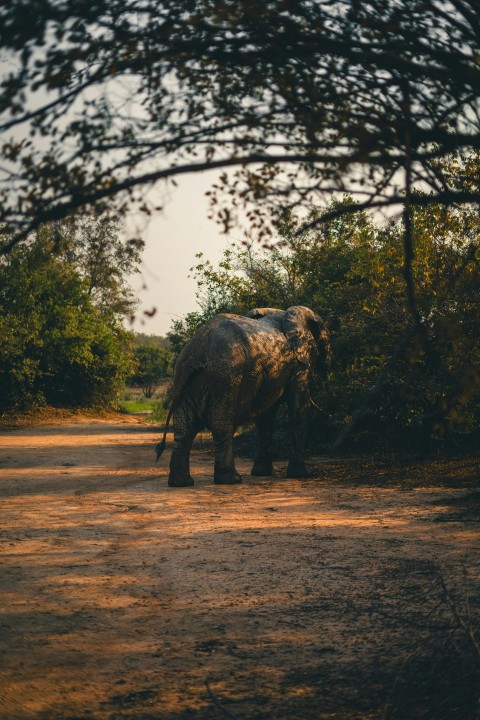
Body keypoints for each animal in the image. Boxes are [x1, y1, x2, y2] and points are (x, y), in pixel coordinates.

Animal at [155, 306, 331, 487]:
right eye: (326, 339)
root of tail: (195, 352)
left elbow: (265, 417)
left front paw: (262, 473)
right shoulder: (298, 364)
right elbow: (298, 408)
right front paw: (302, 474)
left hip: (184, 380)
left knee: (184, 430)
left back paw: (181, 483)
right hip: (226, 378)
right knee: (221, 425)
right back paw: (231, 480)